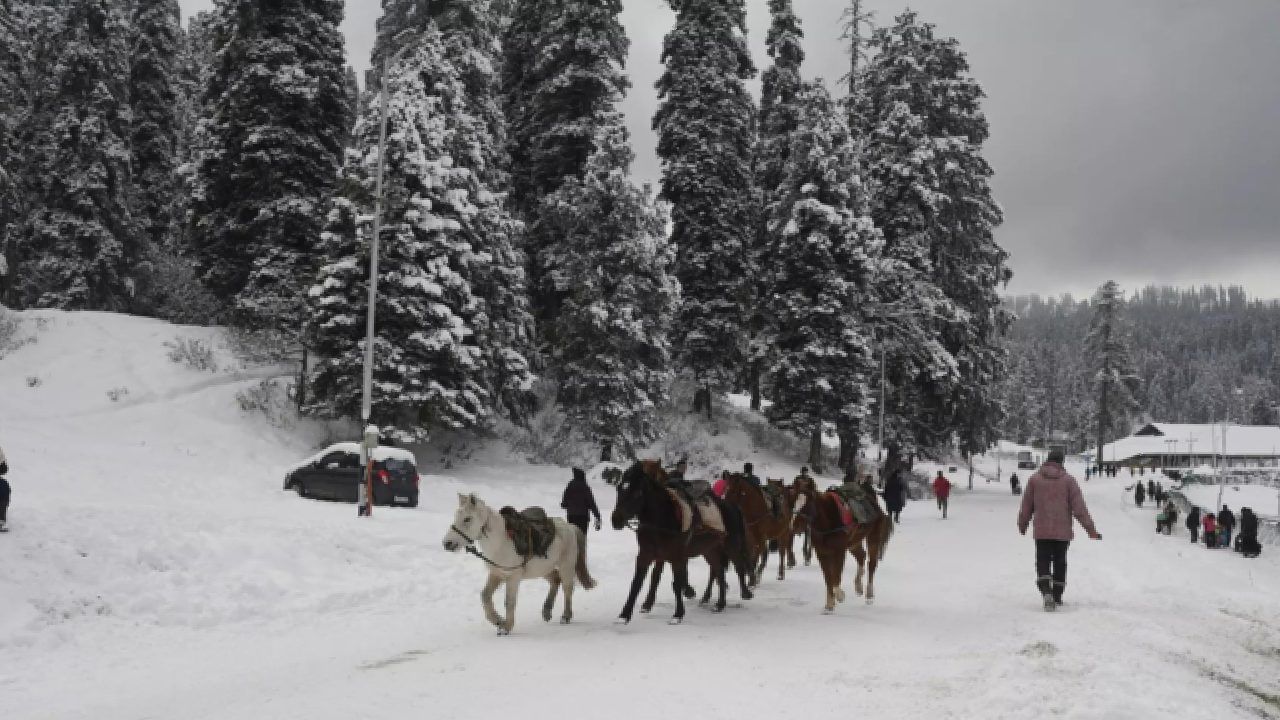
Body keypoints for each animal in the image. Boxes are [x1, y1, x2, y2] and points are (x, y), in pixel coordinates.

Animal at [442, 491, 596, 632]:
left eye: (467, 519)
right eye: (456, 516)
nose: (447, 544)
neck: (500, 542)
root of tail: (570, 526)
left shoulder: (513, 577)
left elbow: (509, 602)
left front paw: (506, 627)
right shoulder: (496, 574)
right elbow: (485, 596)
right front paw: (498, 621)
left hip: (566, 566)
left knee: (567, 588)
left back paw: (565, 616)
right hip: (543, 569)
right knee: (555, 580)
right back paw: (546, 611)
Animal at [609, 458, 747, 622]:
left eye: (637, 493)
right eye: (619, 489)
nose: (616, 520)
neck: (661, 519)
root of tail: (732, 506)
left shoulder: (676, 557)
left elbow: (676, 583)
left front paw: (678, 614)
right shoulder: (646, 555)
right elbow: (638, 582)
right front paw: (625, 615)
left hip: (731, 546)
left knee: (738, 567)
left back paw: (745, 593)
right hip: (710, 550)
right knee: (718, 571)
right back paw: (720, 604)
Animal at [793, 479, 896, 607]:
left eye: (807, 504)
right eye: (794, 500)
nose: (795, 526)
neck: (827, 519)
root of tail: (875, 505)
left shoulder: (840, 551)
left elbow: (836, 577)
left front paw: (840, 595)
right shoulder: (821, 552)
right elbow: (828, 578)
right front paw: (829, 604)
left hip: (873, 539)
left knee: (871, 564)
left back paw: (869, 595)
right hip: (853, 543)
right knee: (861, 556)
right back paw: (858, 586)